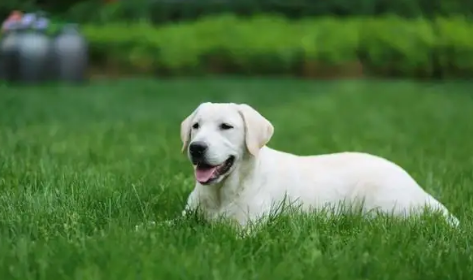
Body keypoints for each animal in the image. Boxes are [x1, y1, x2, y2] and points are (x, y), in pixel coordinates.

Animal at [179, 102, 460, 228]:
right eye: (196, 126)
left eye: (226, 126)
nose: (196, 148)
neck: (221, 193)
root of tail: (418, 188)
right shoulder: (184, 218)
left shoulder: (246, 227)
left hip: (379, 205)